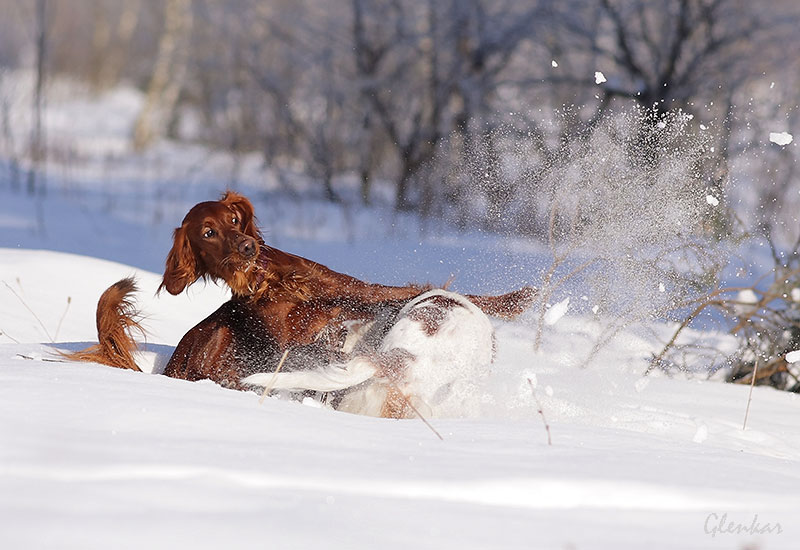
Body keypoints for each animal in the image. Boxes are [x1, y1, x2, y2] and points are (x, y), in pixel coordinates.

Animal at [70, 193, 536, 414]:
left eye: (233, 219)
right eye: (207, 233)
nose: (246, 247)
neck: (273, 283)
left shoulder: (356, 294)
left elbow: (409, 290)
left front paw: (516, 299)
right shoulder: (297, 343)